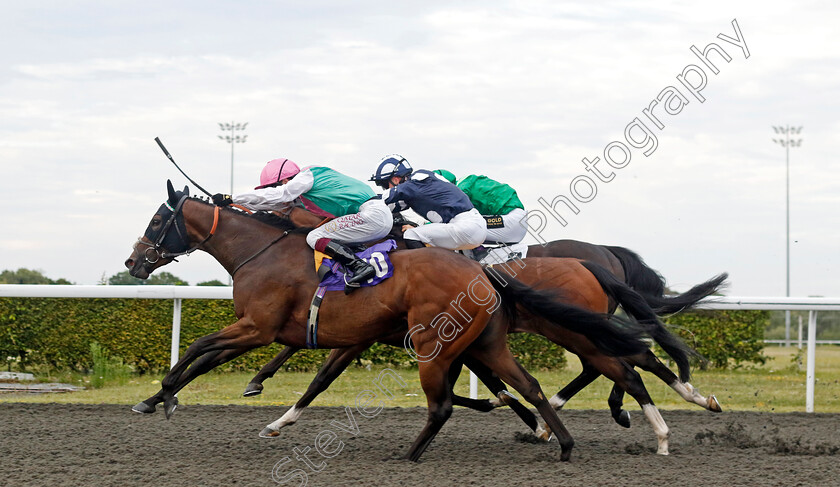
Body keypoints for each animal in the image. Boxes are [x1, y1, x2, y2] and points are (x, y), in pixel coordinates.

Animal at [124, 181, 652, 464]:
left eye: (157, 222)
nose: (133, 262)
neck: (265, 251)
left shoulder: (258, 327)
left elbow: (199, 348)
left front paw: (163, 396)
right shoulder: (306, 333)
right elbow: (230, 361)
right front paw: (161, 398)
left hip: (473, 337)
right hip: (487, 339)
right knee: (537, 382)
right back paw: (562, 437)